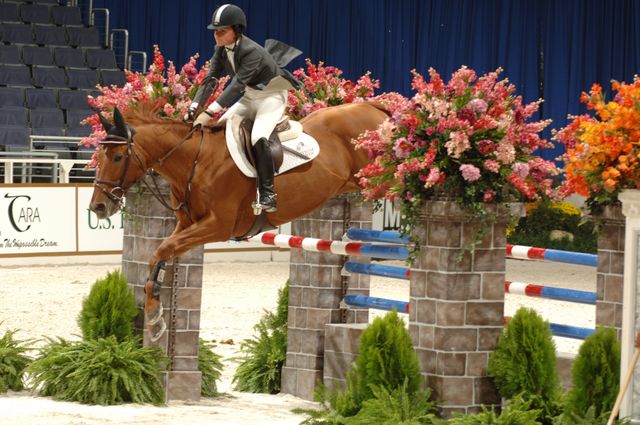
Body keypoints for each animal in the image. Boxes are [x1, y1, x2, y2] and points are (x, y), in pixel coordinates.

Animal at [90, 101, 388, 340]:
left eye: (118, 157)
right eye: (100, 156)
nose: (98, 207)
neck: (196, 161)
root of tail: (372, 106)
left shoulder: (218, 226)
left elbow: (164, 249)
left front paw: (153, 315)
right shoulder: (186, 224)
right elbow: (159, 255)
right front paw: (155, 316)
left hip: (377, 179)